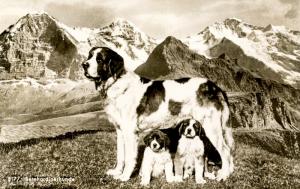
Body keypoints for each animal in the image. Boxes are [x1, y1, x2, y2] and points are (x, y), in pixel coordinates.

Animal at [82, 45, 234, 182]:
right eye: (90, 56)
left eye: (99, 59)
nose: (84, 65)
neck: (116, 83)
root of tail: (214, 86)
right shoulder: (120, 130)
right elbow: (121, 155)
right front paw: (116, 172)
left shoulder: (130, 132)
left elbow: (129, 157)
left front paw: (124, 176)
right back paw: (229, 172)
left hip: (211, 127)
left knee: (226, 151)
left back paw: (223, 175)